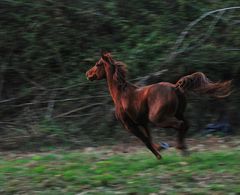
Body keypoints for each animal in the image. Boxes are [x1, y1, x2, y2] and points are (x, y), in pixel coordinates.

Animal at [85, 52, 232, 159]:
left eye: (98, 64)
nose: (88, 74)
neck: (121, 93)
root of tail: (175, 87)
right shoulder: (143, 122)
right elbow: (149, 138)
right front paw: (161, 147)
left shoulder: (130, 125)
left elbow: (145, 141)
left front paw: (159, 155)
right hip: (177, 113)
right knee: (186, 124)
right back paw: (184, 150)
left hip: (158, 118)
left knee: (180, 125)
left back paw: (181, 148)